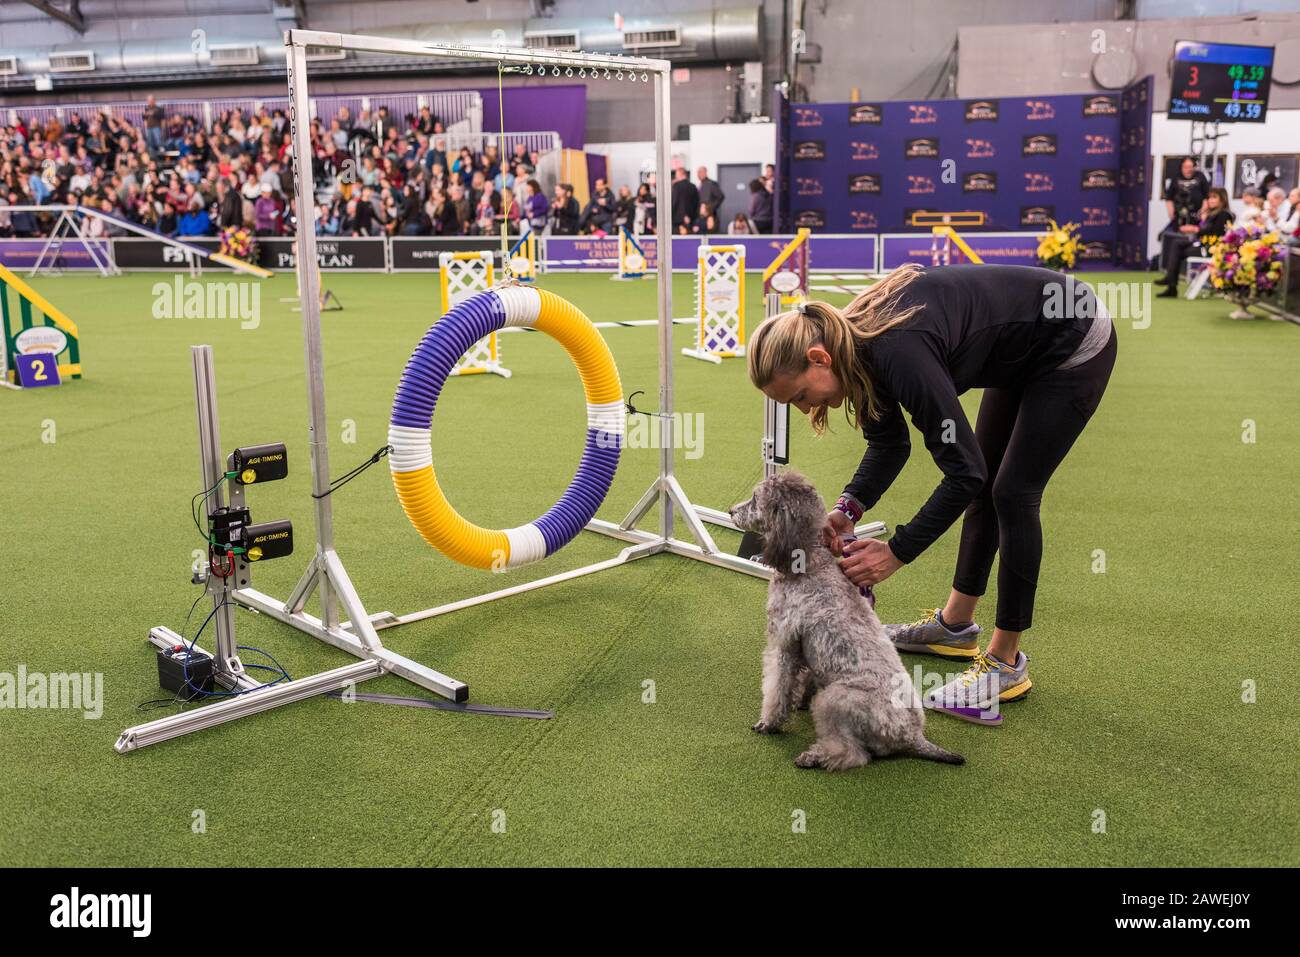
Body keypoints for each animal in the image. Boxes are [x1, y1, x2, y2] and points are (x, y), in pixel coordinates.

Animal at [733, 470, 967, 769]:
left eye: (755, 499)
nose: (731, 511)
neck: (809, 563)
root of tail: (912, 737)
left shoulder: (783, 647)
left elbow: (777, 691)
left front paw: (769, 722)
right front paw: (798, 700)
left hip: (832, 698)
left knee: (853, 753)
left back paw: (813, 757)